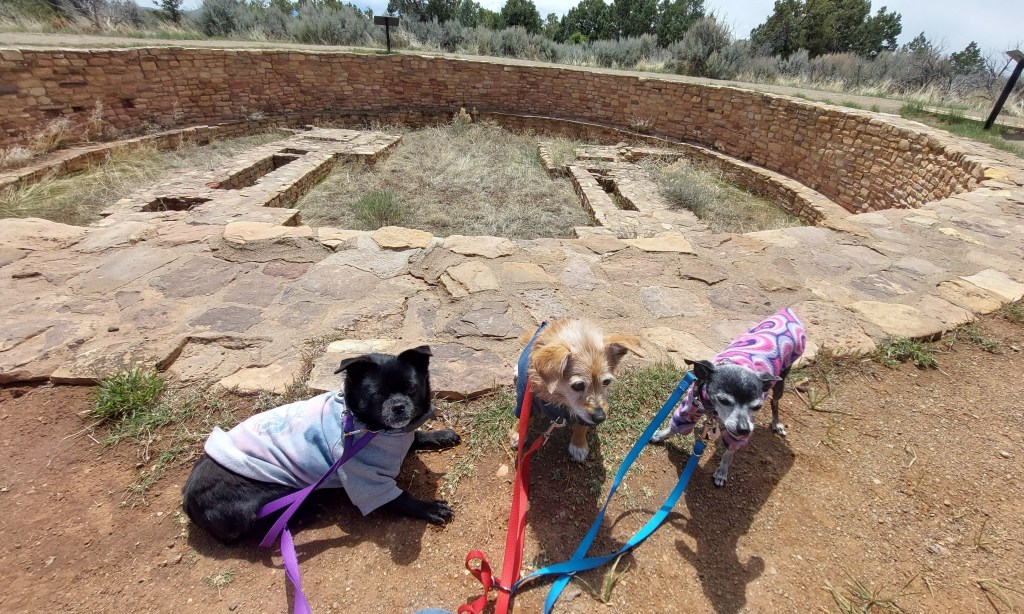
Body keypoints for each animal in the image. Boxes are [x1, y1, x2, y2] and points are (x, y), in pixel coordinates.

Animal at [182, 346, 460, 543]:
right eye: (377, 395)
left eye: (411, 389)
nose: (399, 406)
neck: (371, 428)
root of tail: (188, 502)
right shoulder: (365, 480)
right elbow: (399, 498)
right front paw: (428, 508)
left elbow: (416, 437)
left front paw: (441, 435)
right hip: (271, 491)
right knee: (265, 524)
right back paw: (307, 510)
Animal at [512, 319, 642, 462]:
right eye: (578, 385)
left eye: (606, 382)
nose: (600, 417)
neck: (560, 399)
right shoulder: (524, 401)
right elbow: (524, 418)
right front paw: (518, 434)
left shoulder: (583, 415)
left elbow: (581, 426)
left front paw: (578, 444)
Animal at [651, 308, 806, 486]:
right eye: (723, 401)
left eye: (757, 407)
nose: (744, 429)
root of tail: (788, 312)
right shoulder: (690, 407)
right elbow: (677, 426)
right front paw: (661, 435)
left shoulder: (739, 431)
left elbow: (729, 451)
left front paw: (722, 470)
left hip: (780, 383)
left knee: (775, 402)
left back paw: (777, 423)